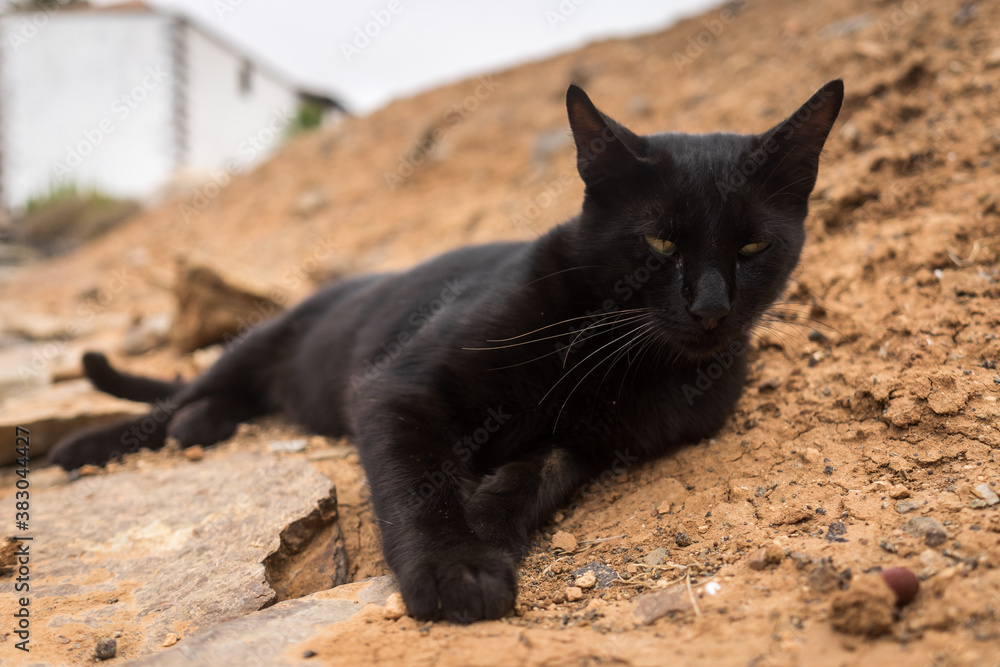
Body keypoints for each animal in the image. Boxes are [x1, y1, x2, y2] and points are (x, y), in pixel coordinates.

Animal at [47, 81, 844, 624]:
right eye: (659, 241)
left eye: (753, 247)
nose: (711, 307)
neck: (617, 355)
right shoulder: (399, 389)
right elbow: (421, 482)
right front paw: (453, 568)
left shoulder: (590, 445)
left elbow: (531, 477)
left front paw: (486, 526)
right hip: (258, 342)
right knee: (178, 395)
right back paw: (95, 444)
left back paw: (203, 425)